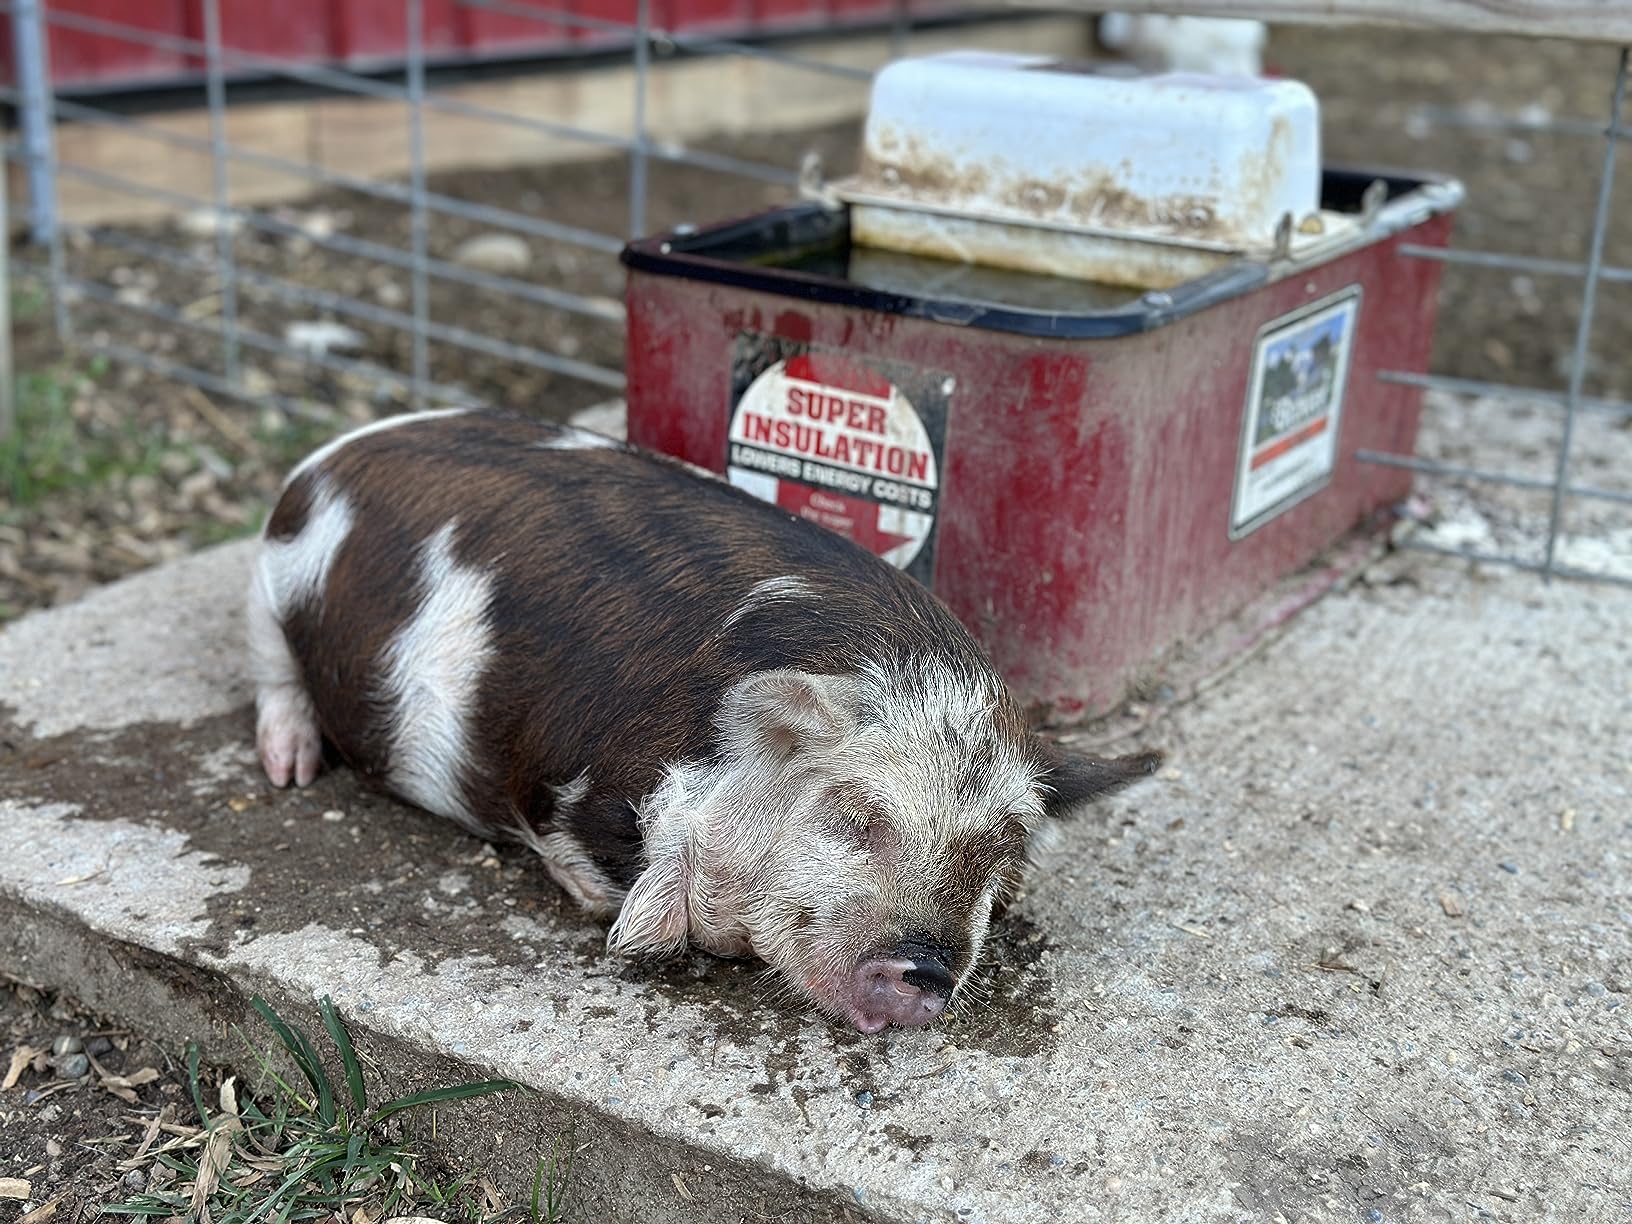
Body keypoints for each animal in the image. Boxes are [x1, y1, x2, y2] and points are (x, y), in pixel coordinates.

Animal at [248, 408, 1160, 1032]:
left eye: (999, 857)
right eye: (855, 817)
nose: (927, 971)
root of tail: (334, 449)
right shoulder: (563, 788)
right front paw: (626, 927)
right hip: (269, 589)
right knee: (275, 674)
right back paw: (289, 769)